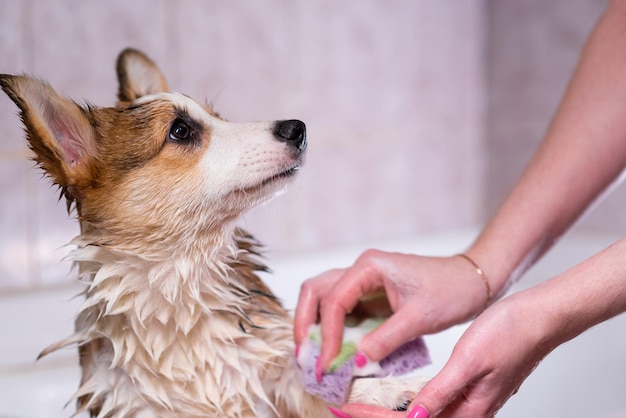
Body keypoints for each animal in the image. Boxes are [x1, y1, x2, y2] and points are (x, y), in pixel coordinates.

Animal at [0, 49, 426, 418]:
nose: (298, 128)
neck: (184, 277)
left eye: (218, 116)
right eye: (180, 130)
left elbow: (309, 383)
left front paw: (384, 389)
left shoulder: (268, 366)